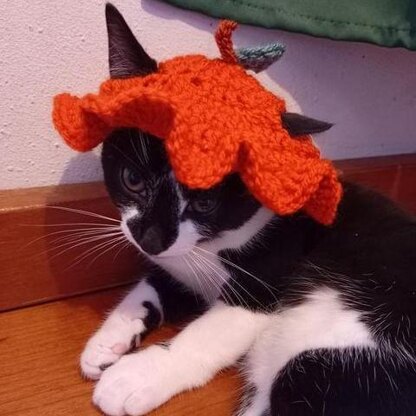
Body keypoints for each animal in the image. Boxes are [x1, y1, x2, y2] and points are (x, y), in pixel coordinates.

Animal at [80, 4, 416, 416]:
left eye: (206, 202)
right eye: (132, 179)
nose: (151, 240)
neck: (215, 245)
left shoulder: (266, 277)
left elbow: (208, 333)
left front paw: (135, 376)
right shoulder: (182, 262)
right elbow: (157, 281)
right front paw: (110, 337)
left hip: (330, 365)